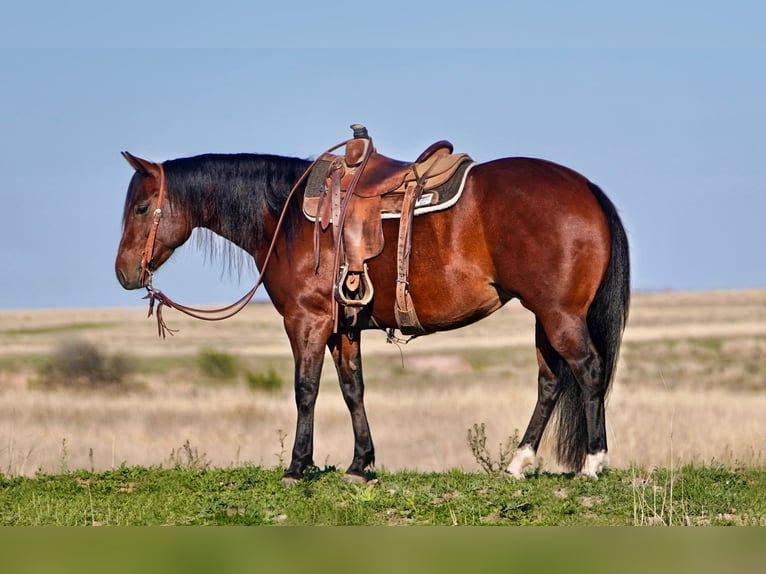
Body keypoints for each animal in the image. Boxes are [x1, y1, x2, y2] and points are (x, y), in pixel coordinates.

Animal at [114, 142, 632, 484]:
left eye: (141, 207)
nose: (124, 272)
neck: (287, 217)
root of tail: (586, 189)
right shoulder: (343, 327)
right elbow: (352, 390)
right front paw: (361, 465)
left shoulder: (307, 320)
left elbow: (305, 391)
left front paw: (297, 467)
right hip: (546, 317)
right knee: (550, 382)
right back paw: (518, 464)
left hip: (559, 316)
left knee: (588, 370)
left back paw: (592, 465)